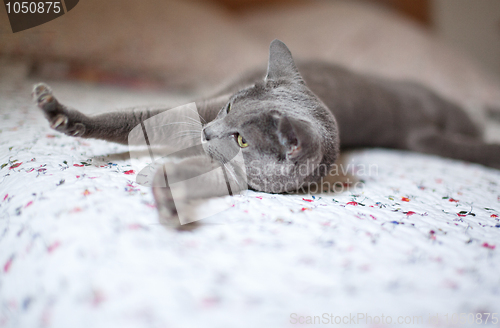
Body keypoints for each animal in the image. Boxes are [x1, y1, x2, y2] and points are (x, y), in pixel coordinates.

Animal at [32, 39, 500, 228]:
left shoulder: (231, 173)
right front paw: (60, 113)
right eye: (228, 109)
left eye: (243, 140)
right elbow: (135, 117)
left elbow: (182, 174)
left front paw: (168, 202)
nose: (207, 132)